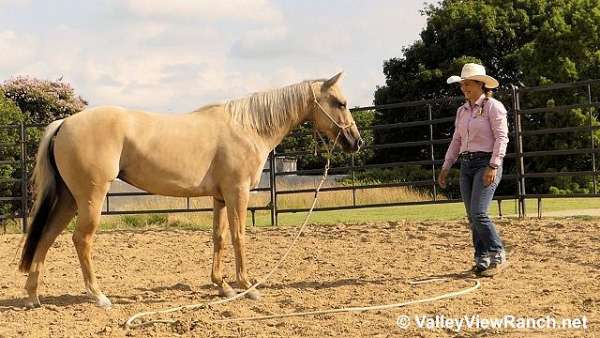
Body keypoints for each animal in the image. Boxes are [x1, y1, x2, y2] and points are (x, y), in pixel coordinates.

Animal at [19, 73, 360, 308]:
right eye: (340, 103)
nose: (356, 141)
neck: (248, 127)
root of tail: (64, 123)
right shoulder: (237, 194)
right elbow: (239, 238)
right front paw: (248, 287)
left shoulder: (220, 197)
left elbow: (219, 239)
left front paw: (223, 286)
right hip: (89, 198)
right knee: (81, 240)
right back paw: (99, 296)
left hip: (67, 199)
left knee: (46, 238)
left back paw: (33, 297)